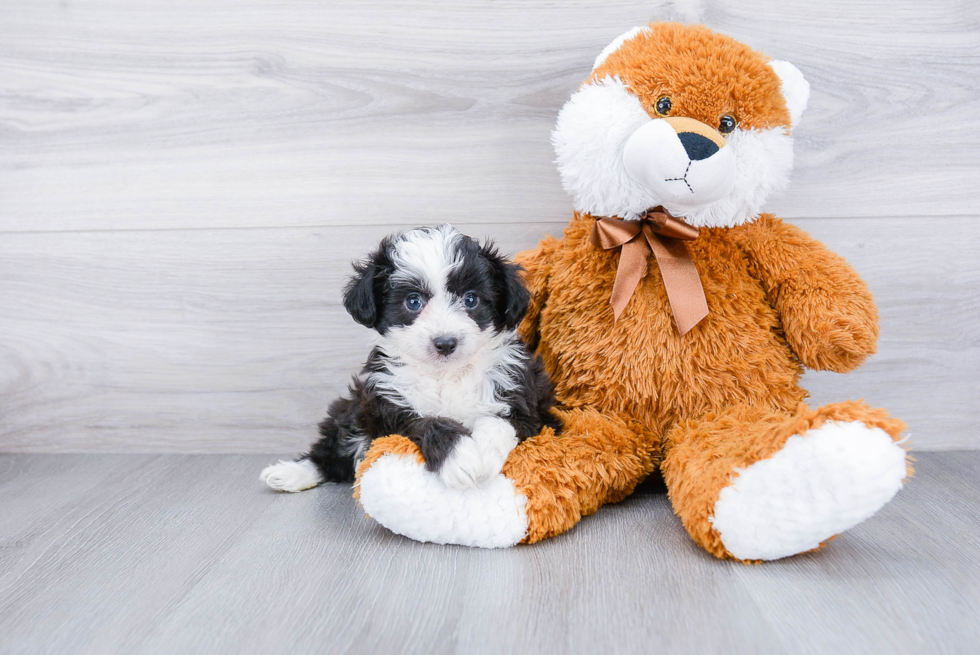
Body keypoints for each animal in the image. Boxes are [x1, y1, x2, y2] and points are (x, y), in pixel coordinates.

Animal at [260, 226, 564, 492]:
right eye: (413, 301)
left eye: (470, 299)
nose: (445, 343)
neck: (445, 374)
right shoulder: (386, 405)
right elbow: (426, 422)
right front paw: (461, 457)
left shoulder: (526, 404)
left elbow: (499, 422)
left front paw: (485, 456)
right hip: (354, 406)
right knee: (335, 448)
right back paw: (291, 472)